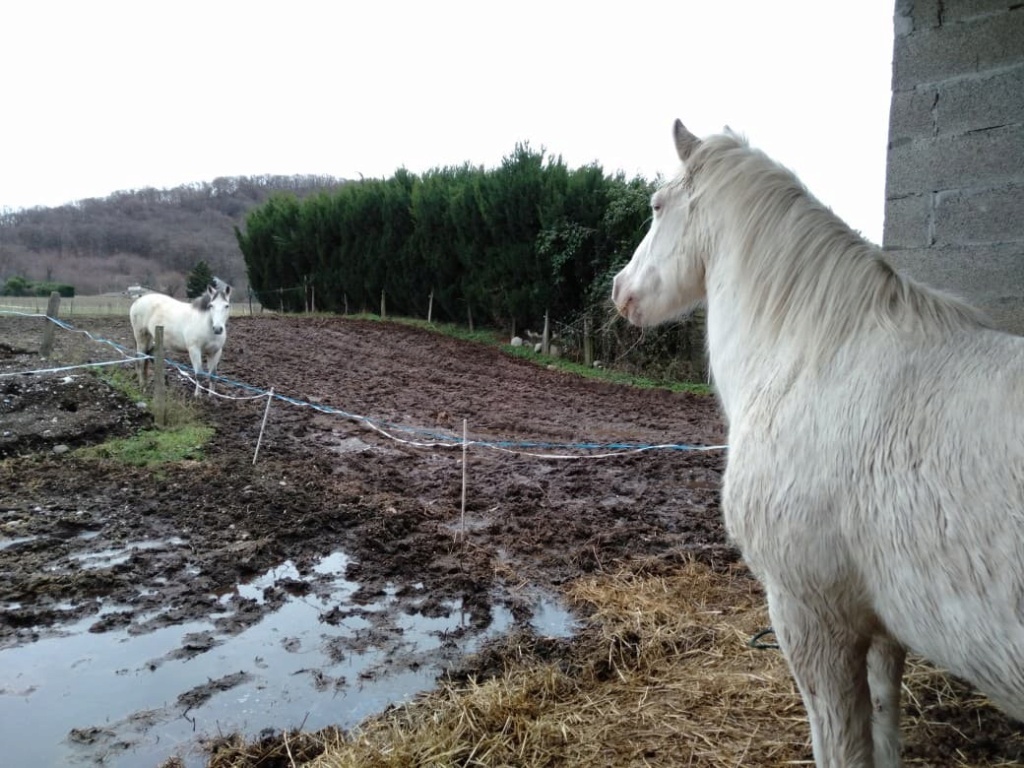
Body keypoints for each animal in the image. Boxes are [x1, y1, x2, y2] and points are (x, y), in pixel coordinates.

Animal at [610, 117, 1019, 765]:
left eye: (655, 206)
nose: (619, 288)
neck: (811, 359)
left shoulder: (811, 618)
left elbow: (842, 743)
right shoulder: (880, 626)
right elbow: (884, 722)